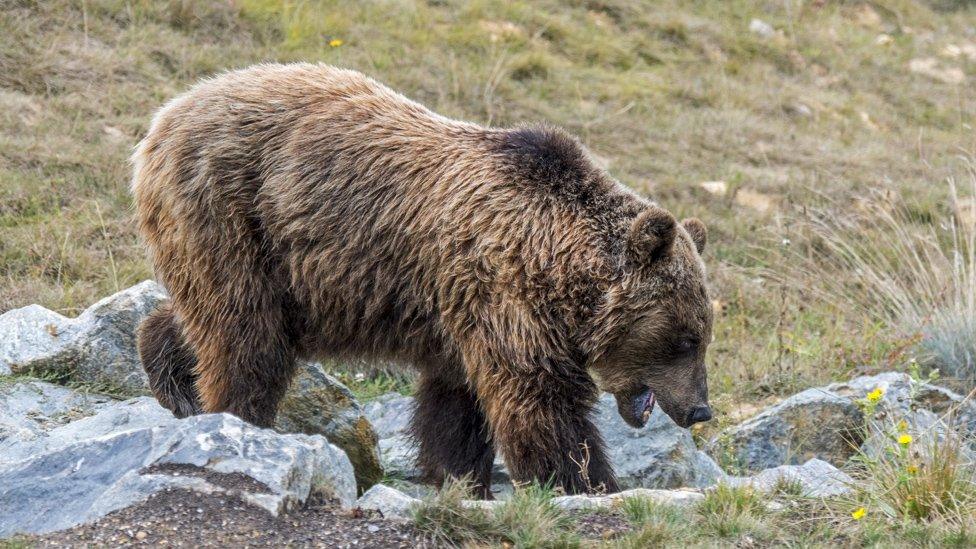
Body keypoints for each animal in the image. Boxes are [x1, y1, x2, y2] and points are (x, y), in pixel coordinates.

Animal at [133, 62, 712, 494]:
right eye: (685, 338)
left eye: (703, 335)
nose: (700, 409)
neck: (556, 265)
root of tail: (166, 115)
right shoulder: (501, 293)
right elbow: (540, 400)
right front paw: (587, 481)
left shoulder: (460, 312)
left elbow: (456, 405)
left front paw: (463, 479)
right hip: (231, 212)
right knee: (245, 334)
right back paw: (235, 416)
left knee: (210, 318)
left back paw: (173, 378)